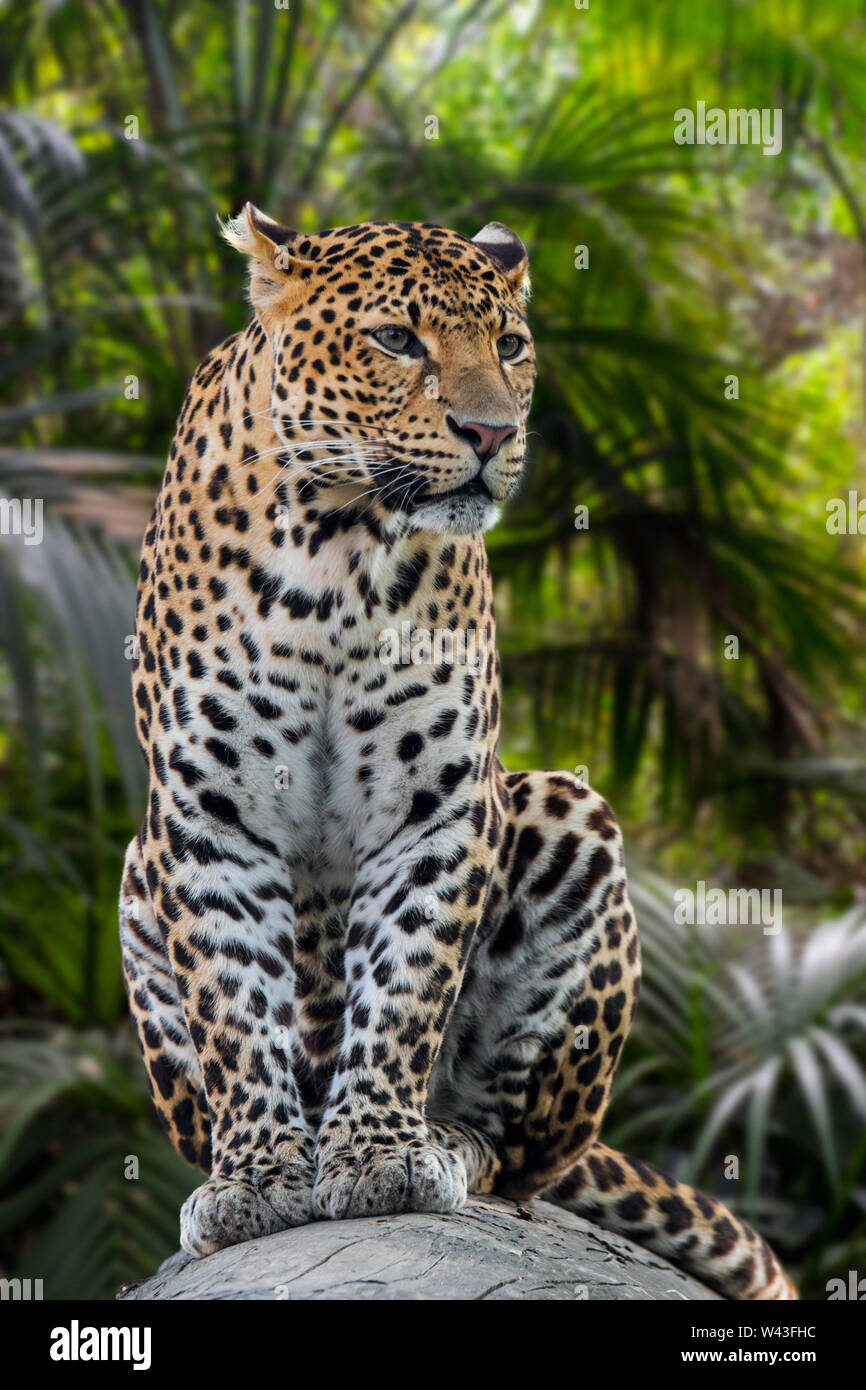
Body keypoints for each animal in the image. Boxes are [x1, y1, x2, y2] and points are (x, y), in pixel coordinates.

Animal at [120, 205, 800, 1301]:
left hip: (564, 821)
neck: (337, 546)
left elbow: (406, 980)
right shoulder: (208, 809)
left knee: (521, 1156)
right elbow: (235, 1000)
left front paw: (381, 1155)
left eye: (511, 346)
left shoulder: (436, 802)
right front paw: (255, 1177)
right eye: (397, 340)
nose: (491, 434)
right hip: (137, 876)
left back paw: (443, 1140)